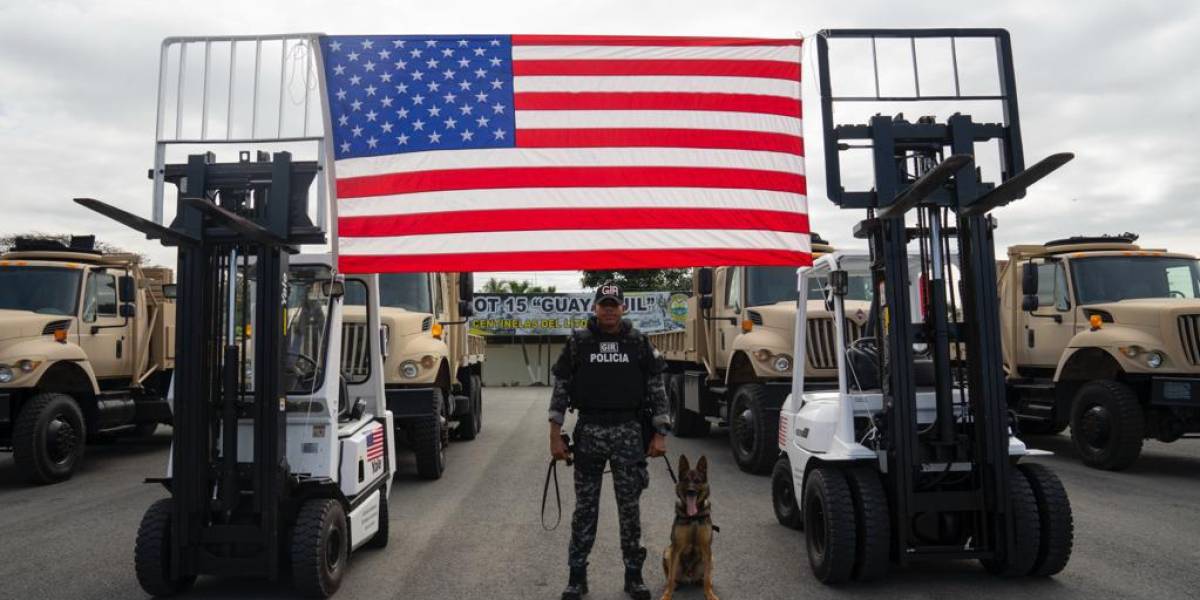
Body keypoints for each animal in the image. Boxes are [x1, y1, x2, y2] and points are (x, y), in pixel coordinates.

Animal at [662, 453, 715, 600]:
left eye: (697, 481)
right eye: (686, 480)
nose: (691, 491)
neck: (693, 517)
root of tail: (689, 576)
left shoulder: (706, 548)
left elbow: (707, 577)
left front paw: (709, 594)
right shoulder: (676, 548)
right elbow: (670, 577)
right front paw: (667, 595)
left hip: (711, 557)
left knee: (707, 576)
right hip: (667, 552)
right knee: (670, 576)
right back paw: (674, 585)